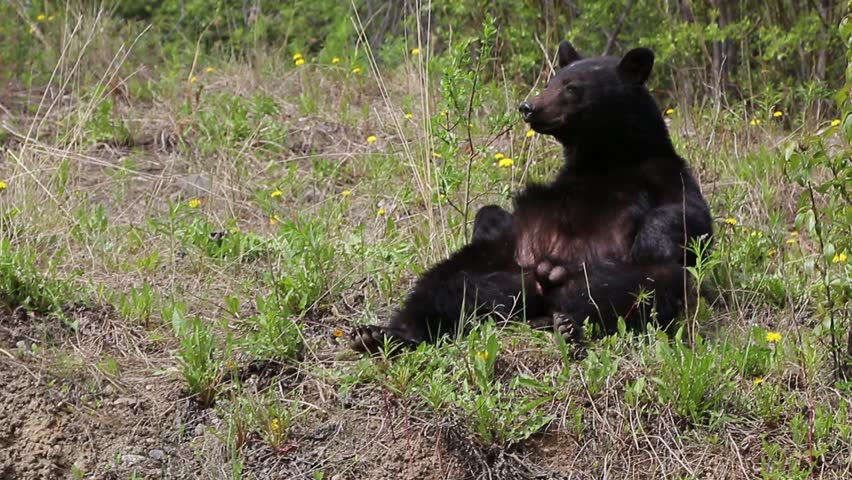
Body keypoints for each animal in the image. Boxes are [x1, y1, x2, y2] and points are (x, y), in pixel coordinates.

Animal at [350, 41, 713, 354]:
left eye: (572, 88)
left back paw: (570, 327)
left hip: (614, 281)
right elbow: (493, 214)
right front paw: (488, 219)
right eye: (551, 81)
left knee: (644, 287)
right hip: (492, 268)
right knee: (438, 287)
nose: (529, 107)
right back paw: (381, 334)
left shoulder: (663, 173)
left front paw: (651, 238)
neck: (606, 157)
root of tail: (541, 286)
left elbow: (691, 215)